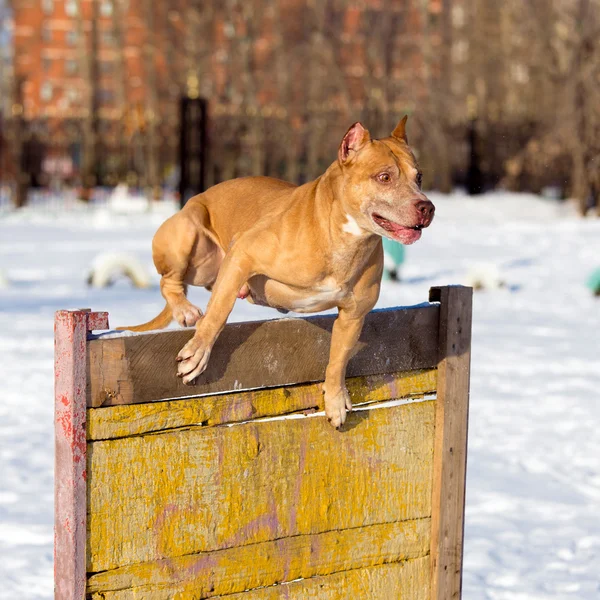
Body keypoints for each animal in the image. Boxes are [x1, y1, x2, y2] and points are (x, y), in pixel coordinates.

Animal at [122, 117, 434, 426]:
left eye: (418, 177)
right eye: (384, 177)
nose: (427, 207)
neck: (344, 237)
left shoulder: (353, 316)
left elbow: (338, 359)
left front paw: (335, 399)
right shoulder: (243, 253)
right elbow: (218, 313)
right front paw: (198, 352)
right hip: (189, 234)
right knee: (170, 282)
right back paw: (185, 309)